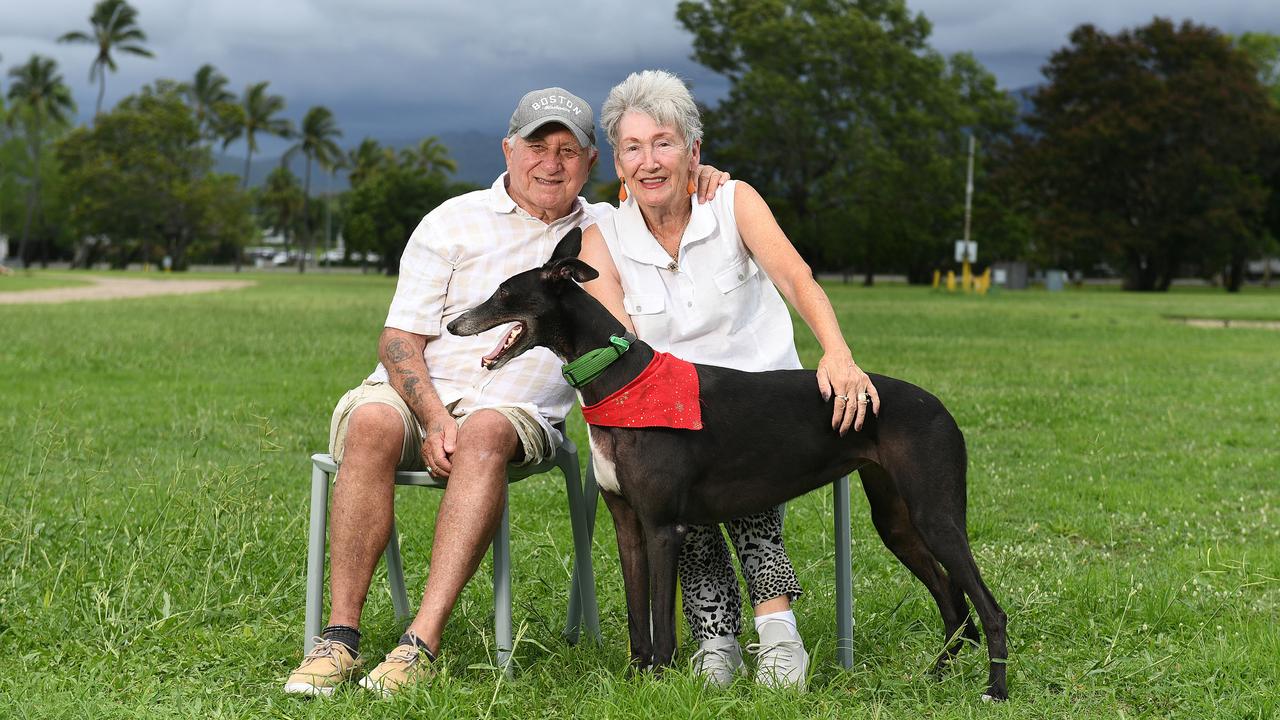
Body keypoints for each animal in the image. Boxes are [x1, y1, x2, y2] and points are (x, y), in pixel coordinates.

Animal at [450, 228, 1008, 696]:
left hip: (936, 514)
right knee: (954, 604)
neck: (621, 380)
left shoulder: (663, 527)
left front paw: (659, 680)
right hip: (897, 520)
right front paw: (635, 677)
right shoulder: (627, 524)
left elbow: (660, 620)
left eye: (504, 293)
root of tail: (939, 407)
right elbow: (635, 615)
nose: (453, 323)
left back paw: (995, 690)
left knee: (989, 609)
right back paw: (935, 676)